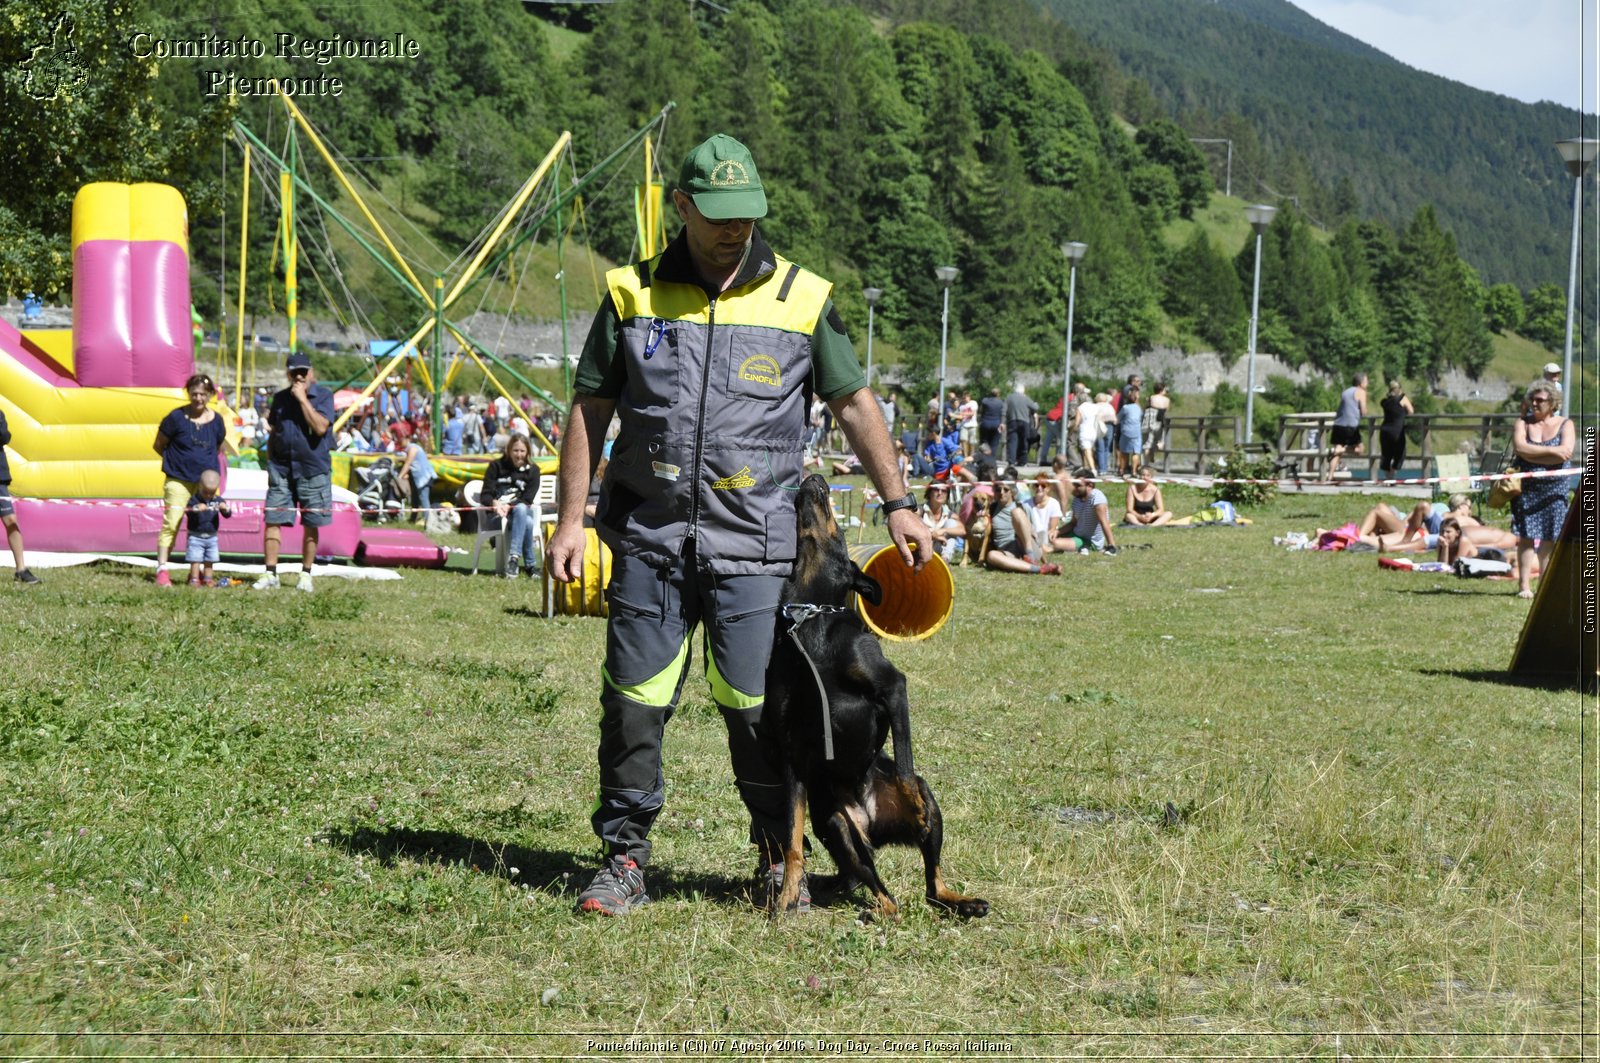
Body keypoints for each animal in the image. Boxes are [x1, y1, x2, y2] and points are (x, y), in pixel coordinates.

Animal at [761, 477, 985, 915]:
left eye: (839, 532)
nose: (816, 478)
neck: (810, 619)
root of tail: (871, 824)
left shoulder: (892, 687)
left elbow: (904, 766)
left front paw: (914, 808)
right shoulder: (791, 752)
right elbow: (792, 840)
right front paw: (788, 895)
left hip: (931, 804)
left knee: (931, 882)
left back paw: (963, 901)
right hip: (836, 826)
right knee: (879, 889)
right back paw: (872, 907)